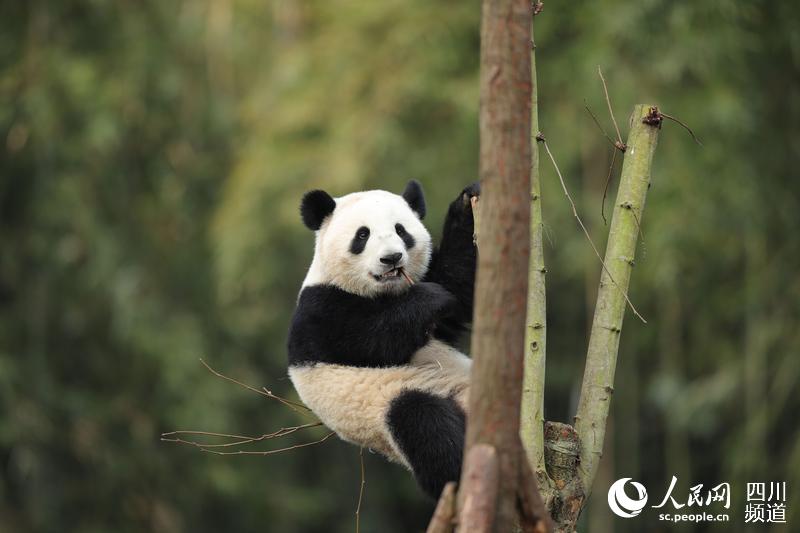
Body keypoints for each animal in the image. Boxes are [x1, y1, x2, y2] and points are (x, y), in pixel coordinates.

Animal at [290, 181, 478, 496]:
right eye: (362, 235)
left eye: (401, 230)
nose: (391, 258)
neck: (385, 293)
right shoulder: (319, 312)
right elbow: (372, 341)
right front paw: (429, 297)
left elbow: (461, 287)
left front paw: (468, 202)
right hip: (390, 407)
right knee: (422, 422)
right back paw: (461, 473)